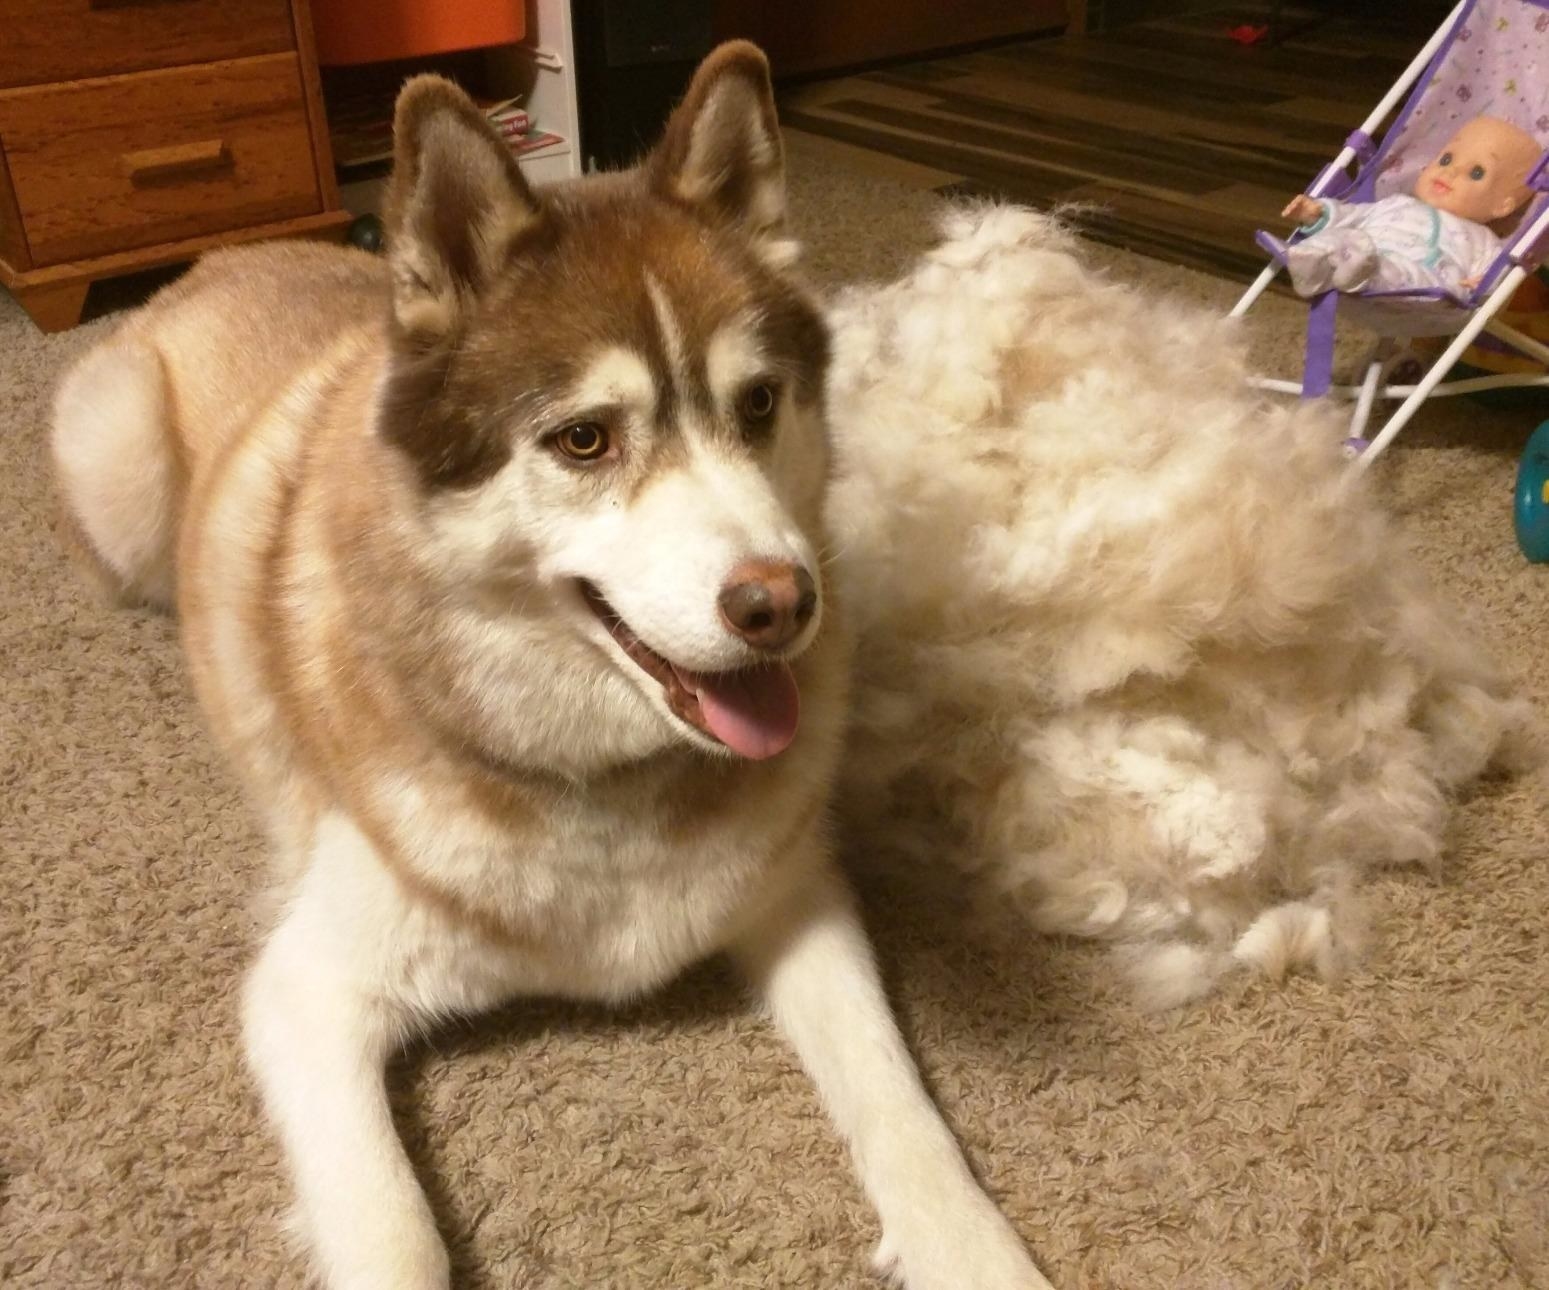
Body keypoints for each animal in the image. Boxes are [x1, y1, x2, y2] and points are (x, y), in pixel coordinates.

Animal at [54, 40, 1059, 1288]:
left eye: (758, 403)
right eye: (585, 439)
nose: (784, 604)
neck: (606, 790)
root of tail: (234, 251)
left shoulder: (800, 897)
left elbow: (903, 1104)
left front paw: (973, 1249)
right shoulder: (306, 995)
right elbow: (395, 1228)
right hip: (120, 459)